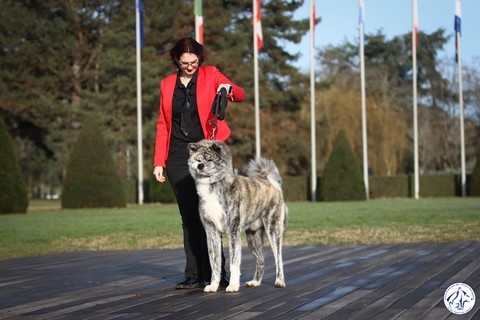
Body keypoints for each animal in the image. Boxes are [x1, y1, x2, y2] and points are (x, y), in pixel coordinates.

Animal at [187, 140, 284, 292]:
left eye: (210, 159)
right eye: (198, 160)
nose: (200, 166)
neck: (213, 188)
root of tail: (271, 184)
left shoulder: (233, 232)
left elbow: (234, 263)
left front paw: (232, 285)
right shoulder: (211, 232)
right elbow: (214, 263)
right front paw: (213, 286)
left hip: (273, 231)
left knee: (278, 259)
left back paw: (279, 281)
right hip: (253, 237)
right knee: (261, 260)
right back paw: (255, 282)